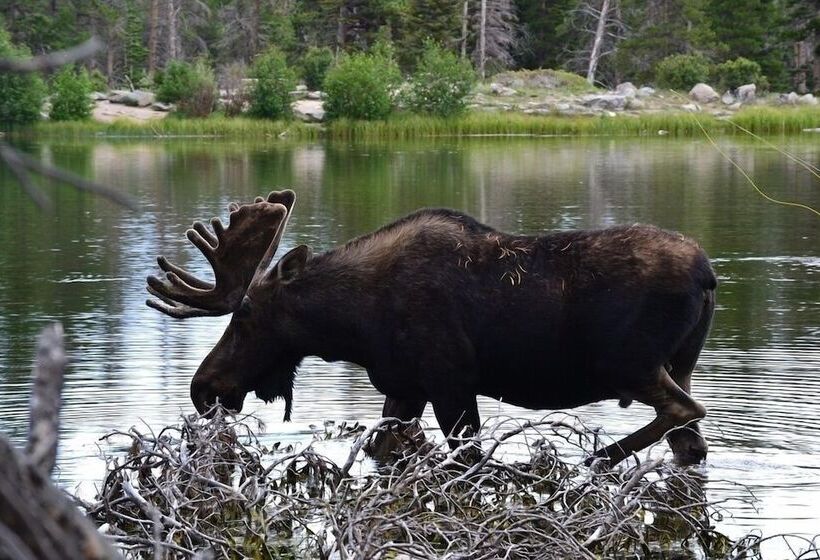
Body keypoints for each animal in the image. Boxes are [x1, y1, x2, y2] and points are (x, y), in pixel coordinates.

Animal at [146, 190, 716, 466]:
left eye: (244, 314)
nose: (202, 388)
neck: (350, 325)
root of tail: (708, 274)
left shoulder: (451, 382)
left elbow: (465, 458)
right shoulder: (404, 386)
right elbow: (380, 448)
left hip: (630, 364)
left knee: (687, 410)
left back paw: (596, 459)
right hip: (680, 362)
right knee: (691, 442)